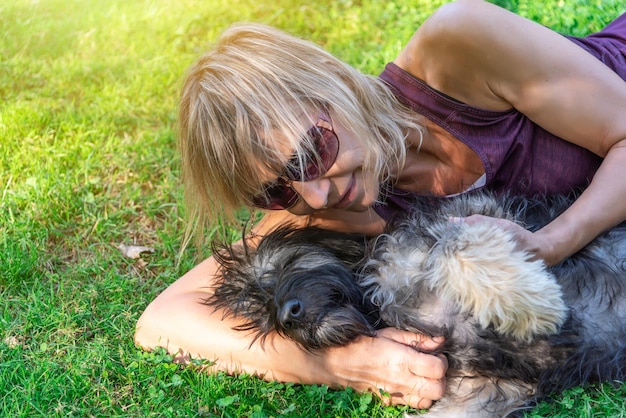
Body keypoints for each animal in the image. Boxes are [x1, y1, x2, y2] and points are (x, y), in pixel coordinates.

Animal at [205, 192, 624, 414]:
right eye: (260, 309)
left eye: (285, 264)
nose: (286, 316)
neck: (375, 302)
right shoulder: (481, 390)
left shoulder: (470, 218)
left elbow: (454, 246)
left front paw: (533, 305)